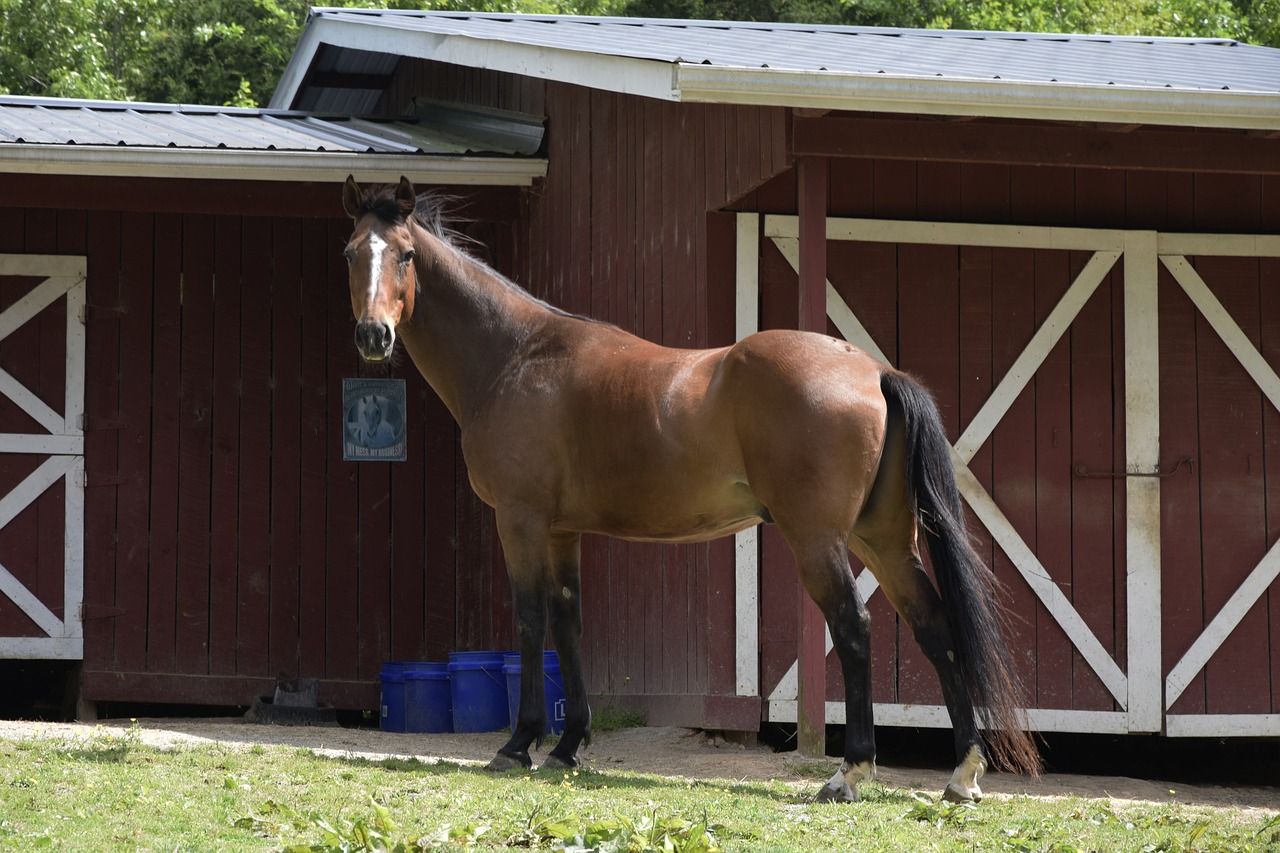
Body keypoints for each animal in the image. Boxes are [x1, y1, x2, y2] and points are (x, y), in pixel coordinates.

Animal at [340, 175, 1039, 799]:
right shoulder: (563, 531)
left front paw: (519, 745)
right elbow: (568, 623)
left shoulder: (522, 520)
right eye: (351, 252)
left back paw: (850, 773)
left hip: (819, 541)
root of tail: (873, 370)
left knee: (854, 626)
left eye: (405, 254)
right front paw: (568, 747)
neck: (516, 355)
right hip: (885, 542)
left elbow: (532, 620)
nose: (373, 336)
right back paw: (961, 773)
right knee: (934, 627)